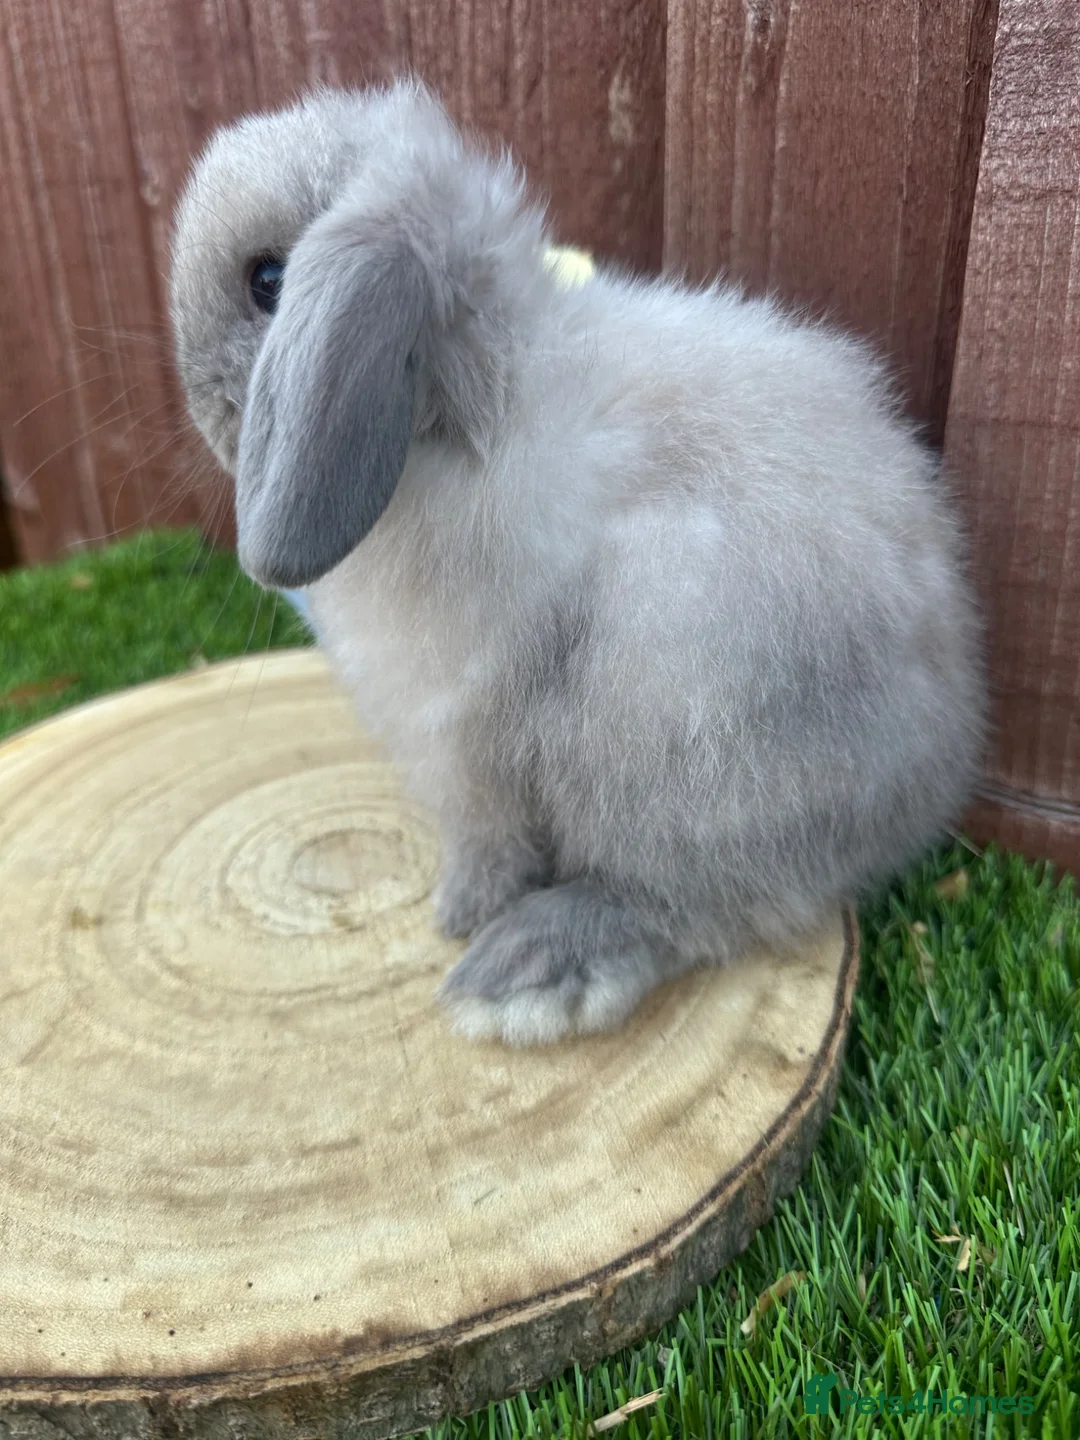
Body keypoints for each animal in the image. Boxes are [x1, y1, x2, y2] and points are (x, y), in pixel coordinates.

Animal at [169, 78, 987, 1047]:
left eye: (268, 281)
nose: (203, 410)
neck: (466, 411)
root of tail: (931, 781)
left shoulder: (461, 739)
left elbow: (487, 844)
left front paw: (458, 914)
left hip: (676, 727)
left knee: (697, 904)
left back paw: (528, 969)